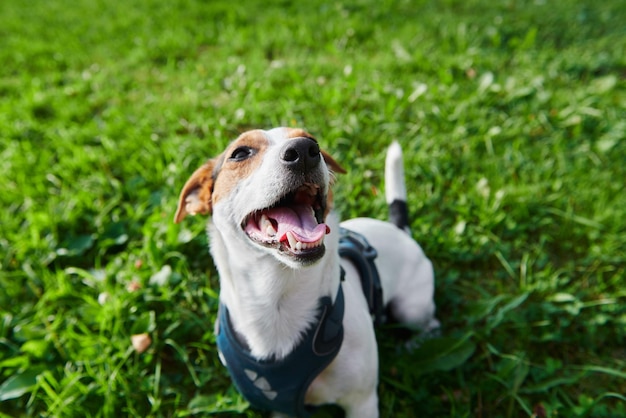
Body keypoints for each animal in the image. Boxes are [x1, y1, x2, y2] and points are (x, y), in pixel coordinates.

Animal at [174, 128, 438, 418]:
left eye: (311, 139)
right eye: (240, 153)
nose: (304, 150)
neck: (276, 298)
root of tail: (399, 230)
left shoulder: (362, 403)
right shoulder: (281, 409)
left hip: (411, 309)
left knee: (431, 324)